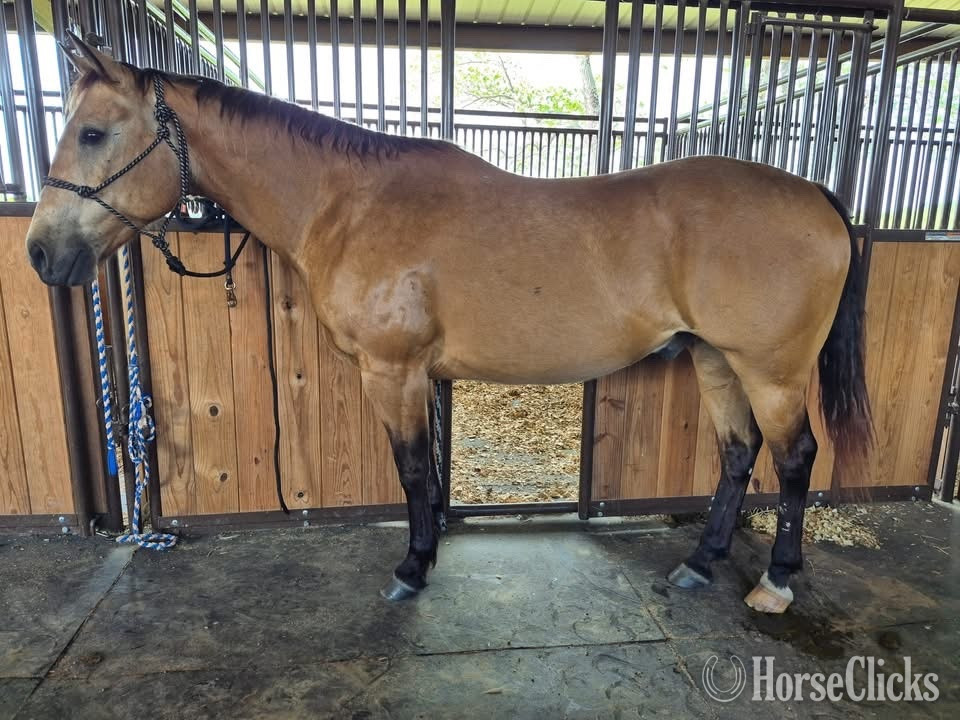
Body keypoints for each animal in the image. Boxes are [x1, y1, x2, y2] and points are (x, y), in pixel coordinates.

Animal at [27, 34, 871, 614]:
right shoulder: (417, 376)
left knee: (794, 457)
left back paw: (776, 584)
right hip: (715, 359)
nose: (40, 253)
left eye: (93, 132)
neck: (350, 204)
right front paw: (425, 556)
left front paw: (411, 568)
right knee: (739, 454)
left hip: (771, 370)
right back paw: (701, 561)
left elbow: (409, 470)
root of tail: (815, 196)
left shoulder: (392, 370)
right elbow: (426, 471)